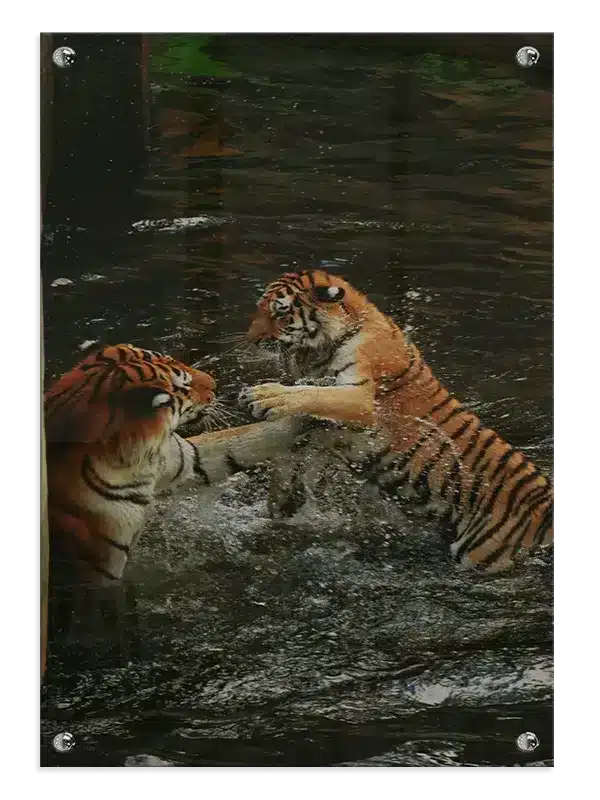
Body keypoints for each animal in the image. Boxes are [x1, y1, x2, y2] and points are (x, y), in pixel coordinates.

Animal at [239, 269, 554, 573]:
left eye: (280, 313)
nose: (251, 340)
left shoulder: (363, 400)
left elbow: (311, 393)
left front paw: (263, 396)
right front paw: (280, 505)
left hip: (481, 554)